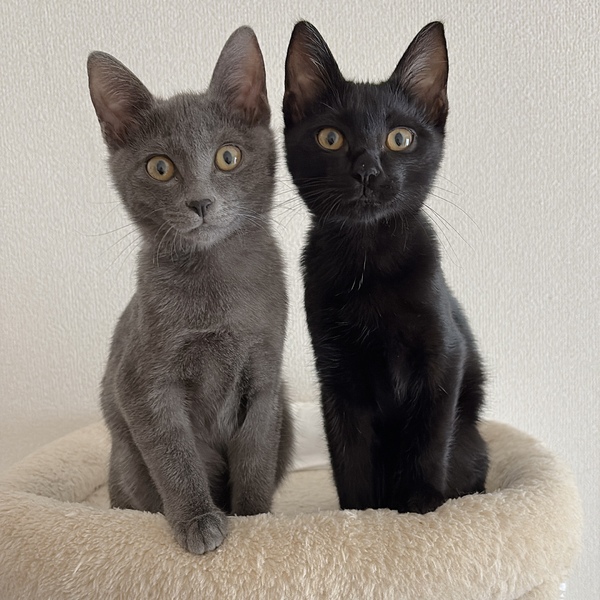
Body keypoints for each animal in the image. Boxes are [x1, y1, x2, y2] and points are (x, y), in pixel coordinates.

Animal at [88, 26, 293, 554]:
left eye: (228, 156)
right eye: (160, 167)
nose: (200, 202)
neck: (216, 283)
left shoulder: (265, 374)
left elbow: (256, 456)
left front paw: (256, 519)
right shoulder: (142, 382)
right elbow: (174, 454)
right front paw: (199, 521)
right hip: (126, 461)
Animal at [283, 21, 488, 514]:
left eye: (400, 138)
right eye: (330, 138)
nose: (367, 171)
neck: (368, 260)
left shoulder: (445, 356)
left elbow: (428, 436)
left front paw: (419, 506)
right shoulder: (337, 376)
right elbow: (350, 456)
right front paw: (363, 516)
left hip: (471, 441)